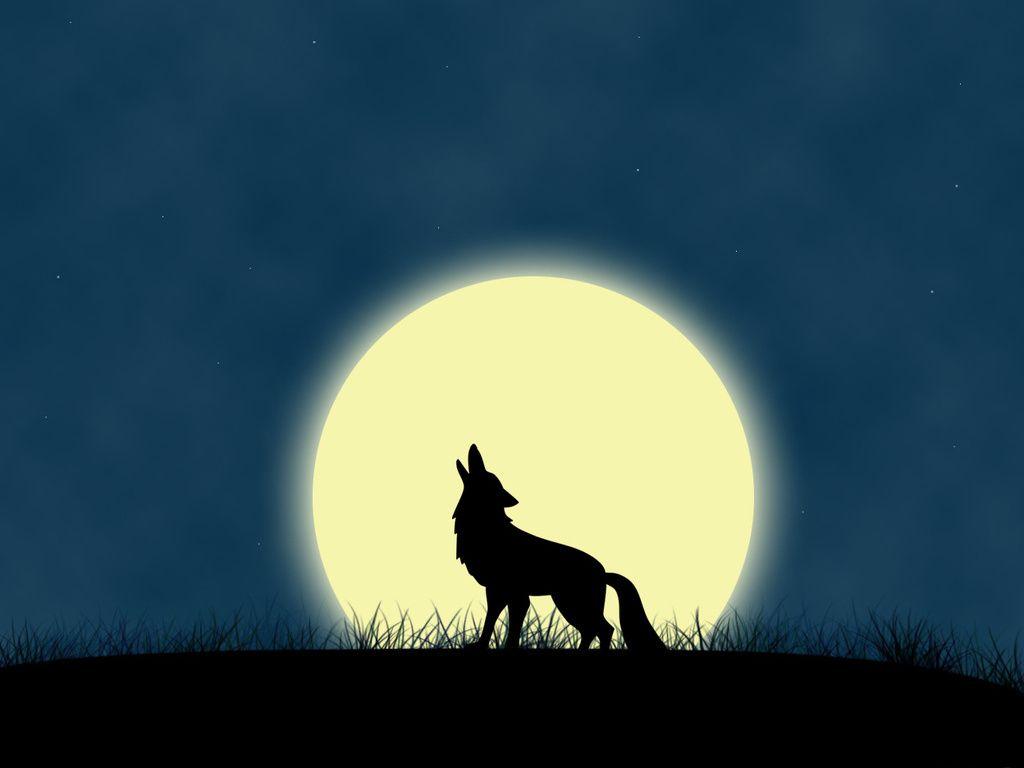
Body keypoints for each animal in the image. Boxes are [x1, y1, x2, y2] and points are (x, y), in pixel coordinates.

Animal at [452, 444, 665, 651]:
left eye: (493, 482)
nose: (472, 448)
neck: (489, 530)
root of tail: (603, 572)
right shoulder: (498, 590)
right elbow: (493, 619)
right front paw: (483, 645)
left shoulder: (512, 592)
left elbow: (509, 624)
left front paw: (505, 648)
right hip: (567, 603)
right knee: (593, 630)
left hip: (572, 604)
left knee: (603, 629)